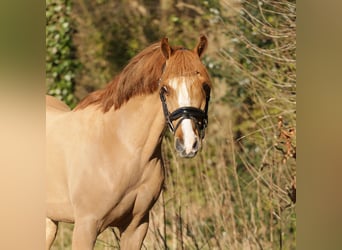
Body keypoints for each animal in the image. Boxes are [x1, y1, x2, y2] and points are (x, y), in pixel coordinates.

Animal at [45, 36, 211, 249]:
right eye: (165, 88)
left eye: (205, 86)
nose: (188, 144)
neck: (121, 146)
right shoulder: (86, 226)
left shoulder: (136, 226)